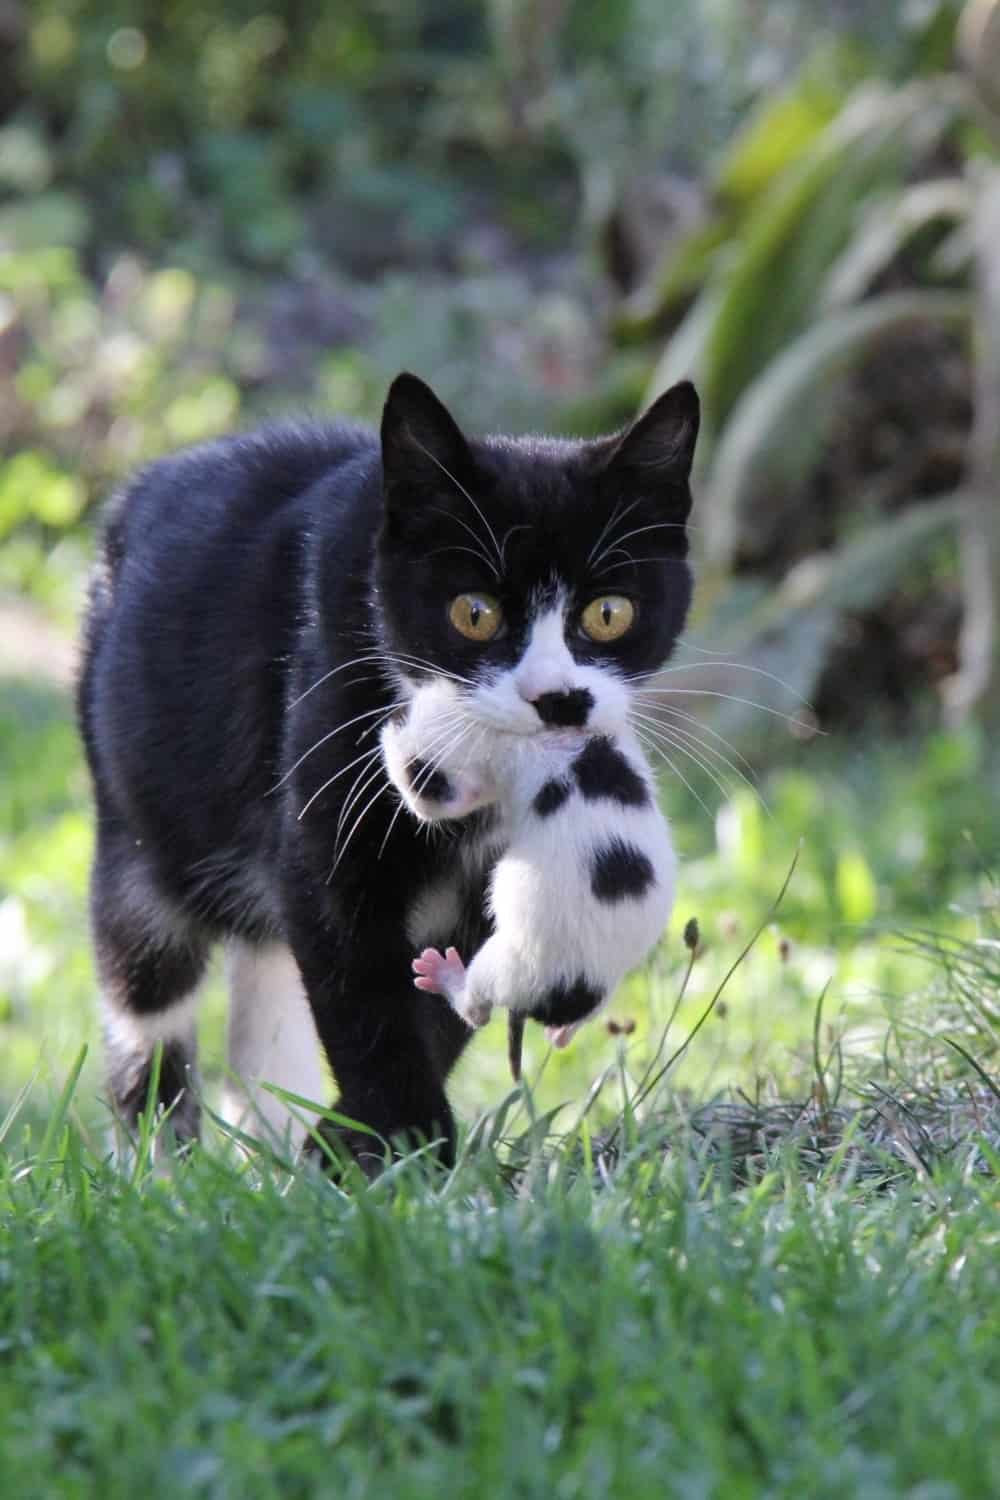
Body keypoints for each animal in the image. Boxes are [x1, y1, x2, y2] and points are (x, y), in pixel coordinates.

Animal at [379, 681, 677, 1068]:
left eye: (413, 781)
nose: (414, 812)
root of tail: (574, 993)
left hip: (502, 965)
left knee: (477, 1008)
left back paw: (444, 975)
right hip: (604, 988)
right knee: (573, 1025)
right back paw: (562, 1031)